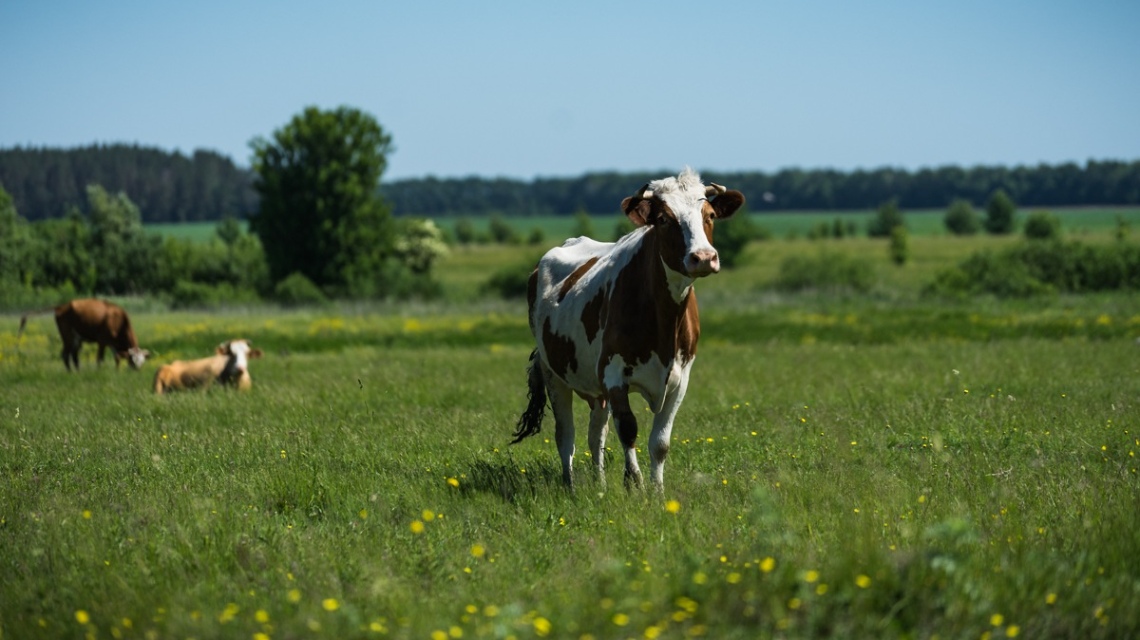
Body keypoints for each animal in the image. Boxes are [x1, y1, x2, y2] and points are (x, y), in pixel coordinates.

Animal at [19, 298, 151, 369]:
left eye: (142, 361)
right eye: (133, 360)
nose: (137, 370)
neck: (119, 320)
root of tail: (61, 306)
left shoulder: (113, 343)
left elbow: (117, 358)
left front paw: (116, 372)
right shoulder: (102, 341)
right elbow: (100, 359)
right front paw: (99, 372)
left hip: (76, 339)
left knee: (74, 355)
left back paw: (78, 372)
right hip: (67, 336)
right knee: (65, 355)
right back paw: (70, 373)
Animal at [515, 168, 747, 488]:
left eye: (710, 215)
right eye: (663, 219)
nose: (703, 257)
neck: (664, 322)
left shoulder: (680, 379)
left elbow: (660, 442)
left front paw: (658, 490)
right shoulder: (614, 375)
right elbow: (628, 429)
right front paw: (634, 483)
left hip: (594, 387)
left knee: (595, 434)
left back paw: (600, 485)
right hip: (554, 374)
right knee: (566, 436)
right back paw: (570, 485)